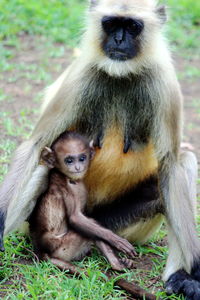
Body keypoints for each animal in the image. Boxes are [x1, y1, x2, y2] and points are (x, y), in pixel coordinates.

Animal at [28, 130, 136, 274]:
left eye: (82, 158)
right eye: (69, 160)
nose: (78, 167)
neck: (70, 179)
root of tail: (43, 252)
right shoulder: (62, 184)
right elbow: (76, 218)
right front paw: (117, 240)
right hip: (63, 248)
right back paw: (116, 264)